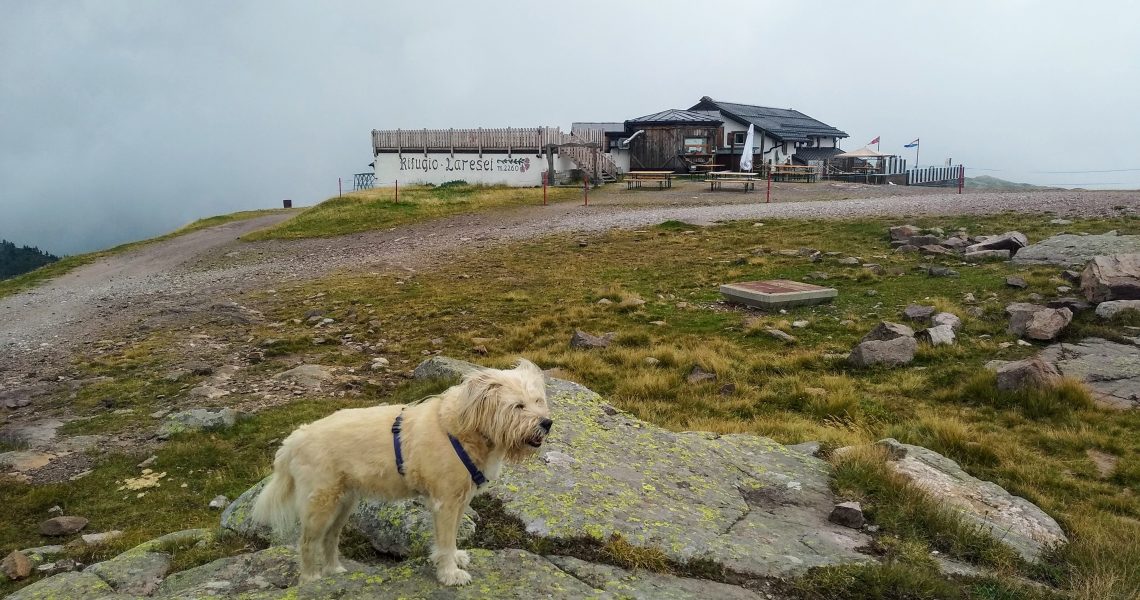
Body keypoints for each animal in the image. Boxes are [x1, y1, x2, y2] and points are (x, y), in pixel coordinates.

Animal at [250, 360, 551, 584]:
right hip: (320, 504)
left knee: (330, 538)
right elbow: (445, 541)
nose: (547, 423)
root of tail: (295, 438)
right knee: (307, 543)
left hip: (343, 503)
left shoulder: (460, 499)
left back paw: (334, 571)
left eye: (538, 400)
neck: (463, 428)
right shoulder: (445, 502)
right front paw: (450, 574)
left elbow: (452, 537)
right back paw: (312, 579)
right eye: (518, 405)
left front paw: (455, 559)